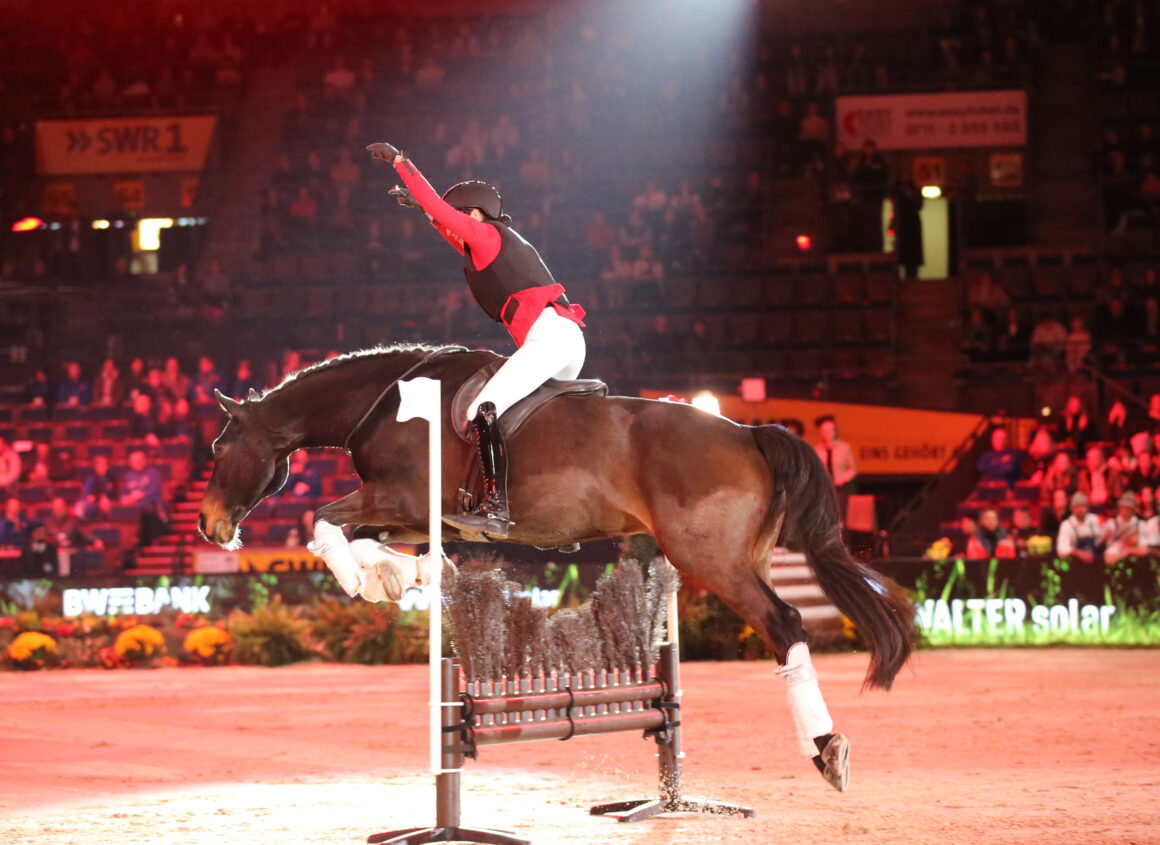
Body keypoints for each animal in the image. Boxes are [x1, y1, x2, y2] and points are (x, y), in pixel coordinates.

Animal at [201, 338, 914, 789]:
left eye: (219, 447)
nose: (209, 526)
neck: (390, 401)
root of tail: (749, 433)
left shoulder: (397, 499)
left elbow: (325, 521)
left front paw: (364, 577)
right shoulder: (410, 514)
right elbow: (368, 538)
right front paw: (396, 575)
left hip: (712, 560)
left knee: (785, 624)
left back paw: (826, 752)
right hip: (739, 558)